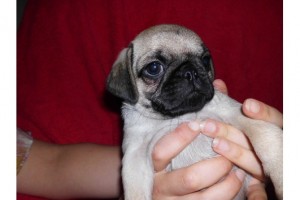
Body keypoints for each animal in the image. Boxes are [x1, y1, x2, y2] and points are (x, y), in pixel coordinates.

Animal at [106, 24, 282, 199]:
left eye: (205, 60)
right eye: (154, 68)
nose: (190, 72)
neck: (179, 116)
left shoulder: (235, 112)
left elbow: (265, 136)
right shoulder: (135, 157)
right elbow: (135, 191)